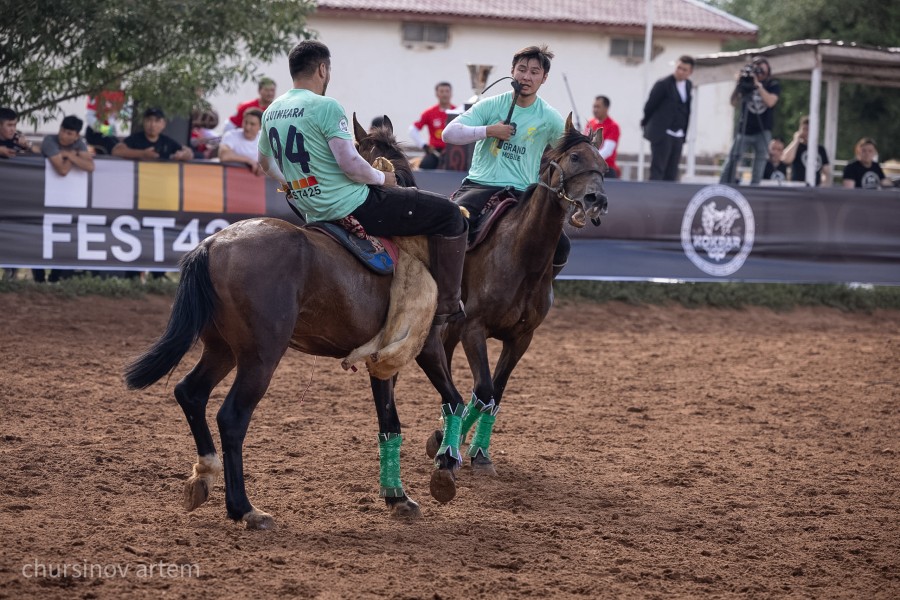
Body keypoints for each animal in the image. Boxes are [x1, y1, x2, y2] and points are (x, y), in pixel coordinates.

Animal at [125, 117, 464, 528]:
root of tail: (212, 245)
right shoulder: (426, 345)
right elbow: (453, 400)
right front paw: (443, 468)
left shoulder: (383, 359)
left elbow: (389, 423)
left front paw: (397, 496)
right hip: (261, 356)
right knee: (232, 417)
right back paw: (244, 508)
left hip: (223, 349)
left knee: (190, 393)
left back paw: (204, 475)